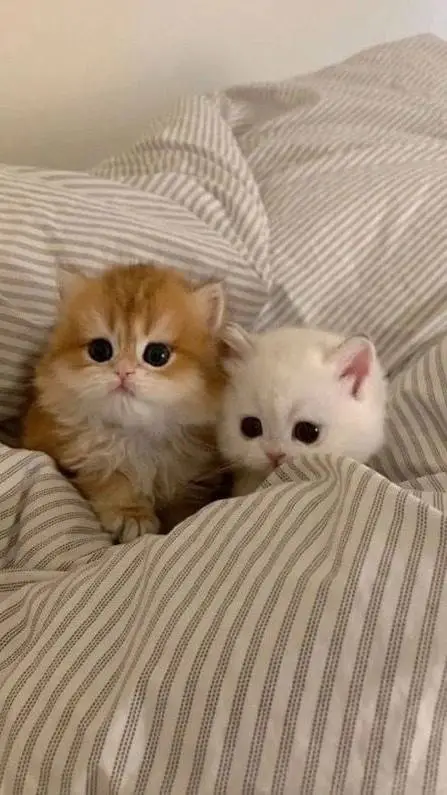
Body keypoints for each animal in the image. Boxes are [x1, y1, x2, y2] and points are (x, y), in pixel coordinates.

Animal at [22, 263, 226, 541]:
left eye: (157, 354)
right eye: (100, 350)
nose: (123, 371)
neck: (135, 435)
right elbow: (111, 479)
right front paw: (131, 513)